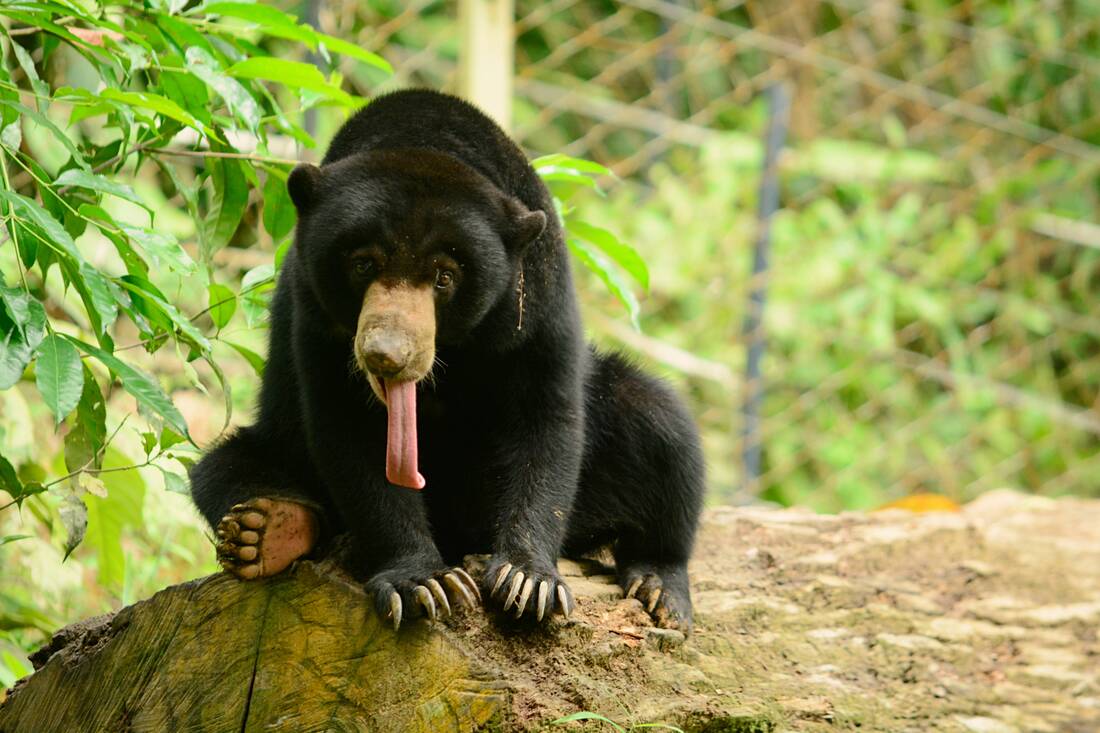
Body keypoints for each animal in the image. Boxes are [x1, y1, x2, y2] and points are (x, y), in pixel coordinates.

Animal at [189, 89, 705, 632]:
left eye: (444, 276)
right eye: (363, 263)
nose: (387, 355)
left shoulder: (536, 299)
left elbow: (546, 418)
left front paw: (527, 582)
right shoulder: (315, 317)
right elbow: (349, 431)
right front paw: (424, 584)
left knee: (660, 427)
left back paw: (659, 586)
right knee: (223, 468)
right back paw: (267, 529)